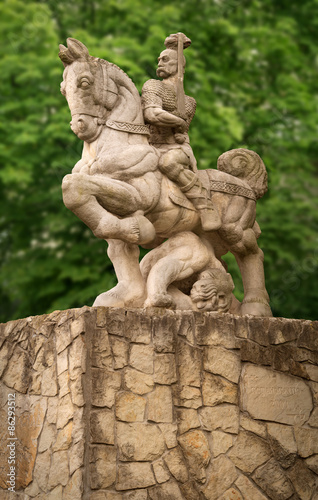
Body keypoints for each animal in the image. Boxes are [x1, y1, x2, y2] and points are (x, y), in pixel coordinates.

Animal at [59, 38, 270, 316]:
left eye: (84, 82)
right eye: (63, 89)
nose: (80, 126)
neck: (115, 146)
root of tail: (246, 185)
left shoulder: (135, 197)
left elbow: (75, 189)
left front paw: (139, 230)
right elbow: (119, 249)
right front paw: (124, 295)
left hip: (235, 229)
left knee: (253, 255)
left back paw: (256, 307)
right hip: (211, 236)